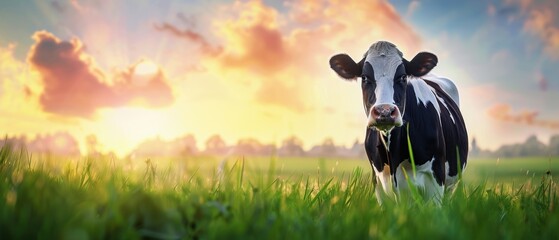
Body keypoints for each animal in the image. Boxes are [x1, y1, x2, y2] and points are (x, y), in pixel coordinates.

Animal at [330, 40, 470, 202]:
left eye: (403, 77)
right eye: (364, 77)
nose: (384, 111)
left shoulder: (434, 179)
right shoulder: (378, 182)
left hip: (451, 184)